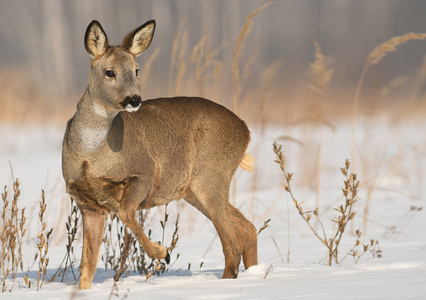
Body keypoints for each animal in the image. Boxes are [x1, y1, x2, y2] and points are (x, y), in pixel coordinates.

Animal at [62, 19, 258, 290]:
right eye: (109, 72)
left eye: (136, 70)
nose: (134, 99)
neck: (90, 156)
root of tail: (245, 130)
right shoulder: (87, 202)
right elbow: (86, 268)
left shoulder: (143, 173)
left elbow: (127, 214)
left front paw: (162, 253)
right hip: (193, 189)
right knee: (247, 229)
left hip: (211, 176)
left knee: (232, 244)